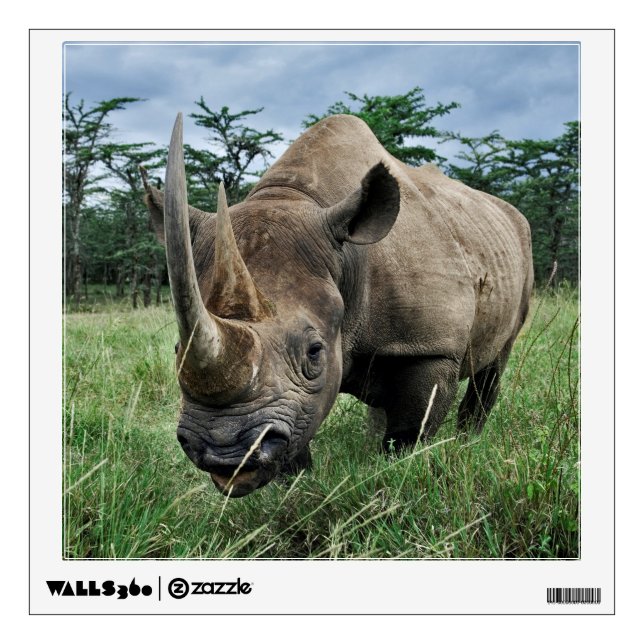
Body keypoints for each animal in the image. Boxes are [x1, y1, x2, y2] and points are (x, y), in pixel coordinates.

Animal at [142, 113, 533, 497]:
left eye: (314, 351)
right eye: (177, 350)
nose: (224, 453)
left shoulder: (431, 347)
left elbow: (409, 432)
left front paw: (397, 473)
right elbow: (300, 437)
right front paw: (298, 488)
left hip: (517, 245)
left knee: (496, 361)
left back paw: (468, 442)